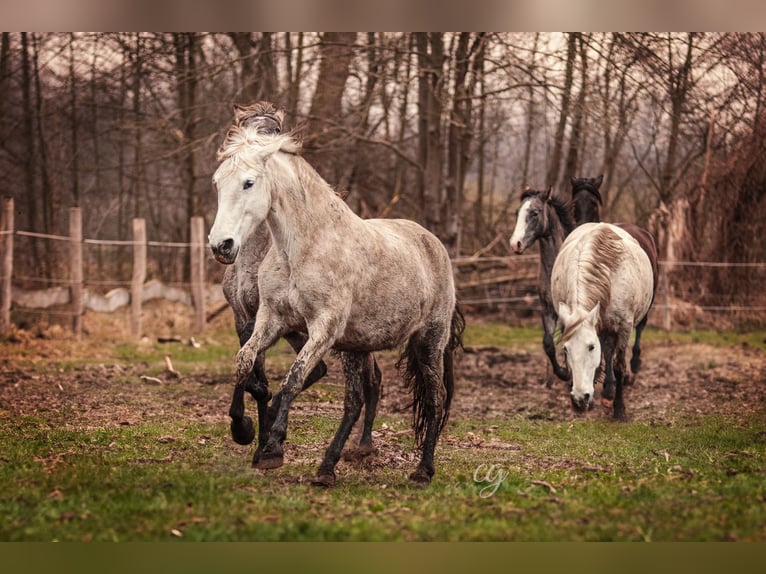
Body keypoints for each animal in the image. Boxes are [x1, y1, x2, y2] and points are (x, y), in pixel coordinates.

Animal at [207, 117, 464, 486]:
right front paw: (243, 429)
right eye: (217, 182)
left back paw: (422, 471)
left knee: (434, 400)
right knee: (355, 401)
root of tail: (434, 244)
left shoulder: (323, 328)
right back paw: (328, 468)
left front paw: (272, 447)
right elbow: (245, 361)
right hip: (357, 347)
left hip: (429, 340)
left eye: (248, 182)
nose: (221, 246)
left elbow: (294, 378)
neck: (303, 248)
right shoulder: (270, 320)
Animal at [552, 223, 656, 420]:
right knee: (607, 352)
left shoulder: (624, 327)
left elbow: (619, 365)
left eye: (591, 347)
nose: (579, 398)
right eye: (566, 349)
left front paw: (619, 409)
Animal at [568, 177, 660, 400]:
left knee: (640, 327)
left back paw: (633, 367)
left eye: (594, 204)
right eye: (574, 204)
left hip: (647, 301)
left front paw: (609, 385)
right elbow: (602, 345)